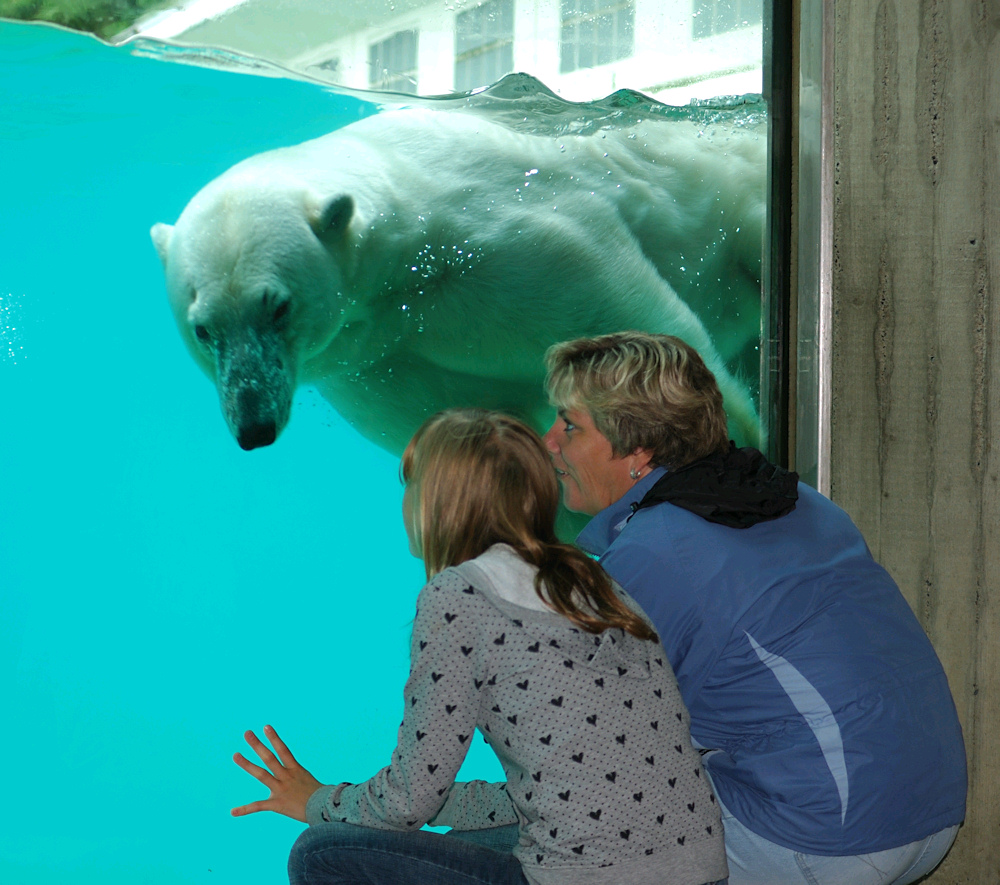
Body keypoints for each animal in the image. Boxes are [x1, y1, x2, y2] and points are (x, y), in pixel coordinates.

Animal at [150, 104, 756, 456]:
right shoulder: (384, 361)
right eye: (203, 330)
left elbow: (623, 321)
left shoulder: (514, 242)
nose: (254, 426)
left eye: (277, 307)